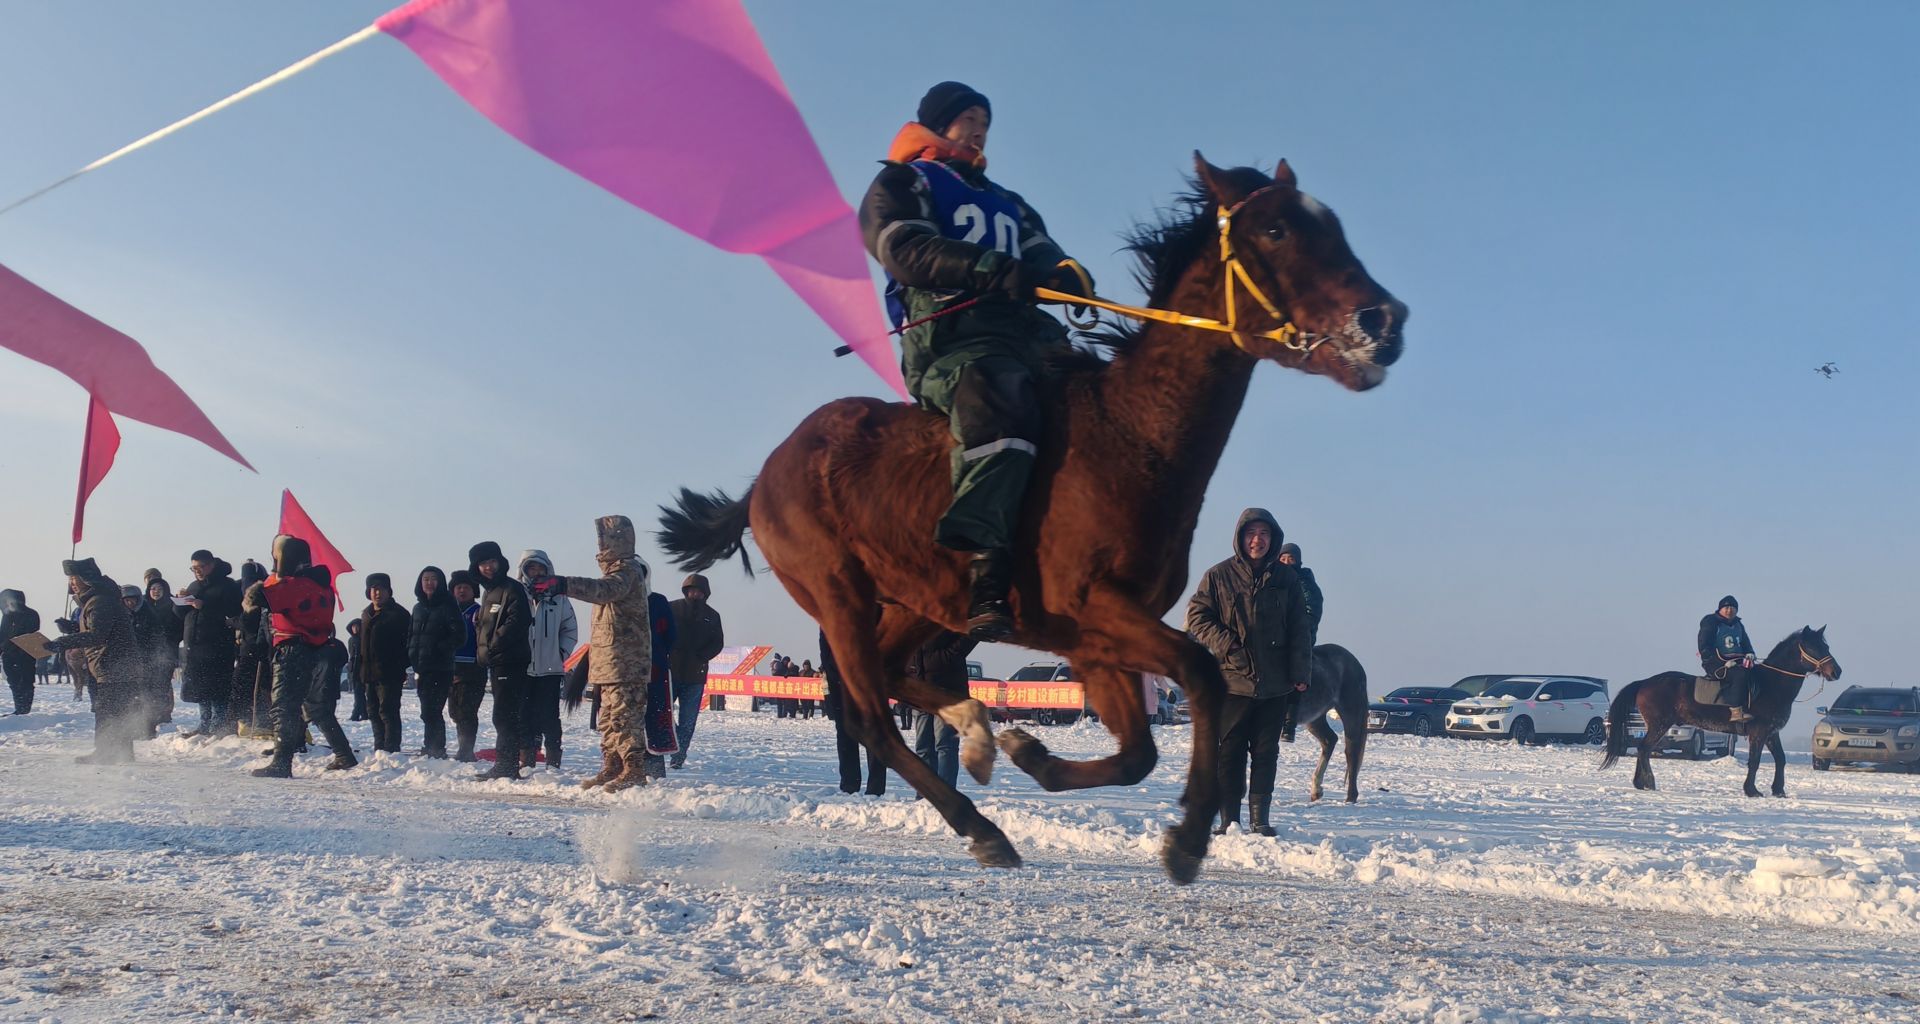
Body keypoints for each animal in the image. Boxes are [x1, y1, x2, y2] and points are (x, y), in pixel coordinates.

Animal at [652, 155, 1405, 883]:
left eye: (1331, 224)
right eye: (1276, 229)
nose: (1385, 320)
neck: (1130, 434)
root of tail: (765, 477)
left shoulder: (1096, 637)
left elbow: (1138, 751)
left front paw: (1030, 750)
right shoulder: (1093, 608)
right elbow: (1201, 670)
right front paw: (1189, 836)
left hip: (918, 603)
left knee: (895, 677)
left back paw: (978, 730)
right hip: (837, 595)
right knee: (868, 717)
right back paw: (979, 823)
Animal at [1597, 622, 1835, 799]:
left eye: (1826, 647)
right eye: (1814, 648)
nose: (1837, 671)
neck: (1771, 684)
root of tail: (1645, 682)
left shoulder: (1771, 733)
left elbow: (1781, 759)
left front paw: (1778, 790)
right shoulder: (1758, 733)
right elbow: (1755, 761)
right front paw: (1752, 790)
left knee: (1642, 749)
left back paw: (1640, 783)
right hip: (1659, 725)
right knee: (1644, 749)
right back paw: (1649, 782)